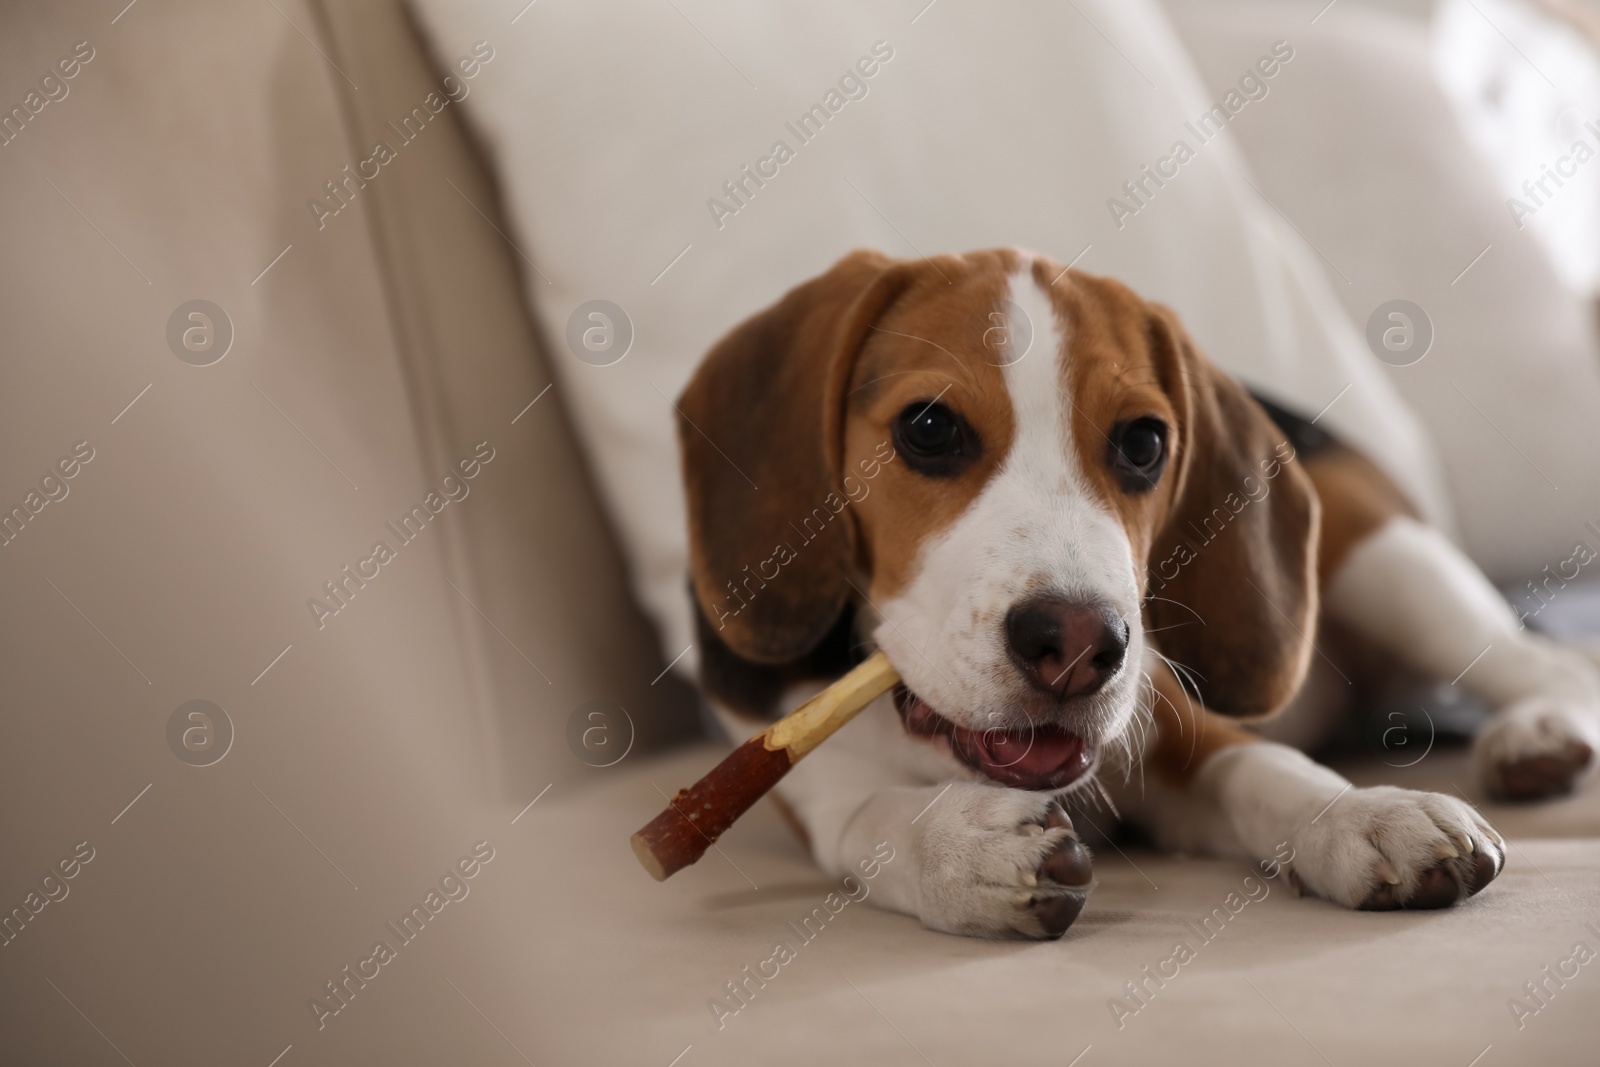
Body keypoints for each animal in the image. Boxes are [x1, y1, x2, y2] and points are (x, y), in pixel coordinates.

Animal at [678, 247, 1600, 934]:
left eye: (1144, 443)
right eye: (929, 428)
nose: (1080, 643)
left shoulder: (1175, 723)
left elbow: (1265, 767)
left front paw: (1365, 813)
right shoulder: (806, 786)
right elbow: (870, 819)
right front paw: (959, 845)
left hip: (1387, 563)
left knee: (1547, 663)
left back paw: (1536, 735)